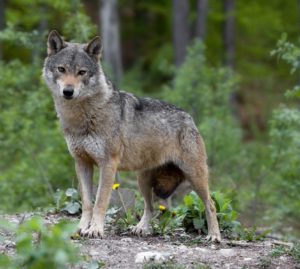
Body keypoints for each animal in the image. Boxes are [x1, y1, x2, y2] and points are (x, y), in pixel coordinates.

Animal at [42, 30, 220, 242]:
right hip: (143, 180)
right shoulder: (81, 162)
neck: (82, 117)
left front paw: (95, 229)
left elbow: (100, 201)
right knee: (151, 207)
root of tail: (189, 118)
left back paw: (214, 236)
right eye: (61, 69)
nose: (68, 91)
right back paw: (141, 228)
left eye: (82, 72)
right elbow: (86, 202)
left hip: (195, 176)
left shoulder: (108, 164)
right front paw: (80, 228)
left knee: (210, 204)